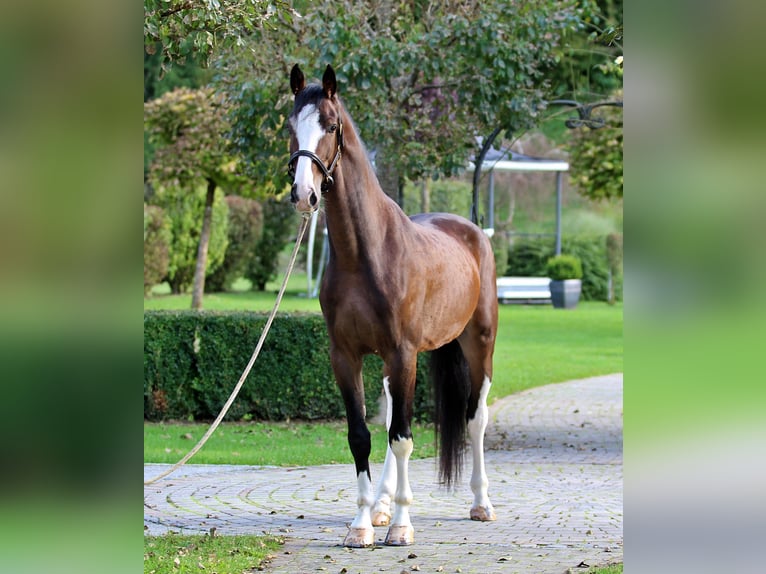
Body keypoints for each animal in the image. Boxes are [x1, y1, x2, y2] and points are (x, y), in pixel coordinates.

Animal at [286, 64, 498, 547]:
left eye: (330, 125)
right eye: (290, 127)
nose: (304, 194)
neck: (365, 254)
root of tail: (472, 232)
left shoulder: (403, 354)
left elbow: (403, 438)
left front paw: (402, 526)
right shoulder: (346, 356)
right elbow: (363, 435)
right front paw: (363, 524)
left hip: (478, 345)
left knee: (475, 419)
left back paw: (480, 503)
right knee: (388, 426)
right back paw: (381, 507)